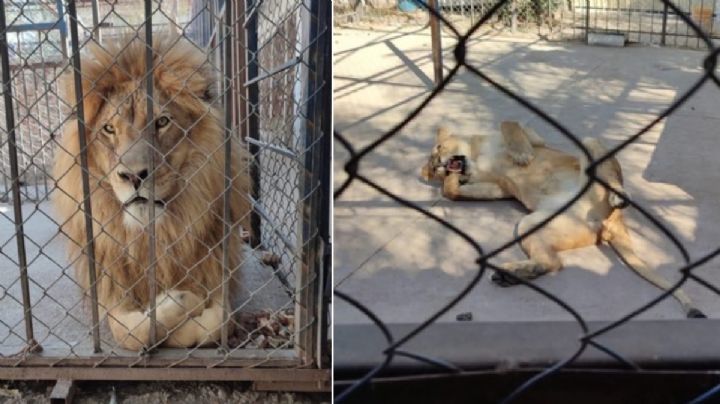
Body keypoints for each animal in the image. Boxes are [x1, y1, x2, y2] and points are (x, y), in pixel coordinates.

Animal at [52, 34, 253, 350]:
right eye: (109, 129)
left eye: (162, 122)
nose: (134, 175)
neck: (153, 236)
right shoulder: (111, 294)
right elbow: (136, 332)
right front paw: (179, 302)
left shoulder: (218, 276)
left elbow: (217, 323)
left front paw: (185, 306)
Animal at [421, 121, 705, 318]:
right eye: (433, 167)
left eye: (438, 149)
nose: (440, 165)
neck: (476, 157)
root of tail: (611, 222)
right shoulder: (499, 187)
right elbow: (453, 192)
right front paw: (450, 183)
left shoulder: (533, 137)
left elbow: (509, 123)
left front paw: (521, 155)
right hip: (531, 224)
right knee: (553, 263)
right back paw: (511, 275)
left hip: (589, 143)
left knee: (614, 180)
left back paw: (619, 197)